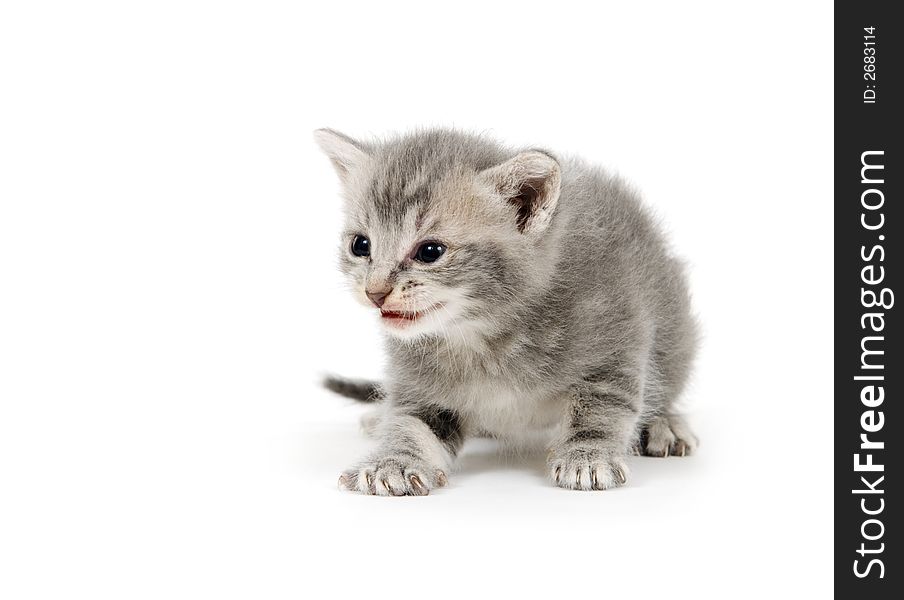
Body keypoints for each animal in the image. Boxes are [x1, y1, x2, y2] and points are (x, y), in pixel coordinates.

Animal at [318, 129, 700, 494]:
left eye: (430, 251)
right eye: (360, 245)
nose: (375, 292)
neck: (479, 335)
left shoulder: (615, 339)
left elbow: (601, 408)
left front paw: (587, 456)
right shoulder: (421, 385)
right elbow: (410, 423)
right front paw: (394, 462)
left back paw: (665, 423)